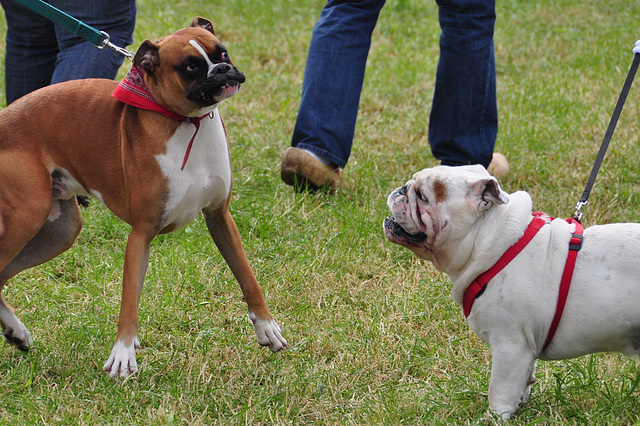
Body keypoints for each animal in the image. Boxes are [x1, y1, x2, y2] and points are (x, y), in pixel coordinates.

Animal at [0, 16, 288, 378]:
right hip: (28, 217)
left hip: (58, 231)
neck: (186, 122)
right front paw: (123, 353)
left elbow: (248, 276)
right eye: (190, 66)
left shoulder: (220, 218)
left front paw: (267, 327)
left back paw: (15, 331)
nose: (223, 69)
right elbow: (130, 300)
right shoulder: (141, 235)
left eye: (222, 52)